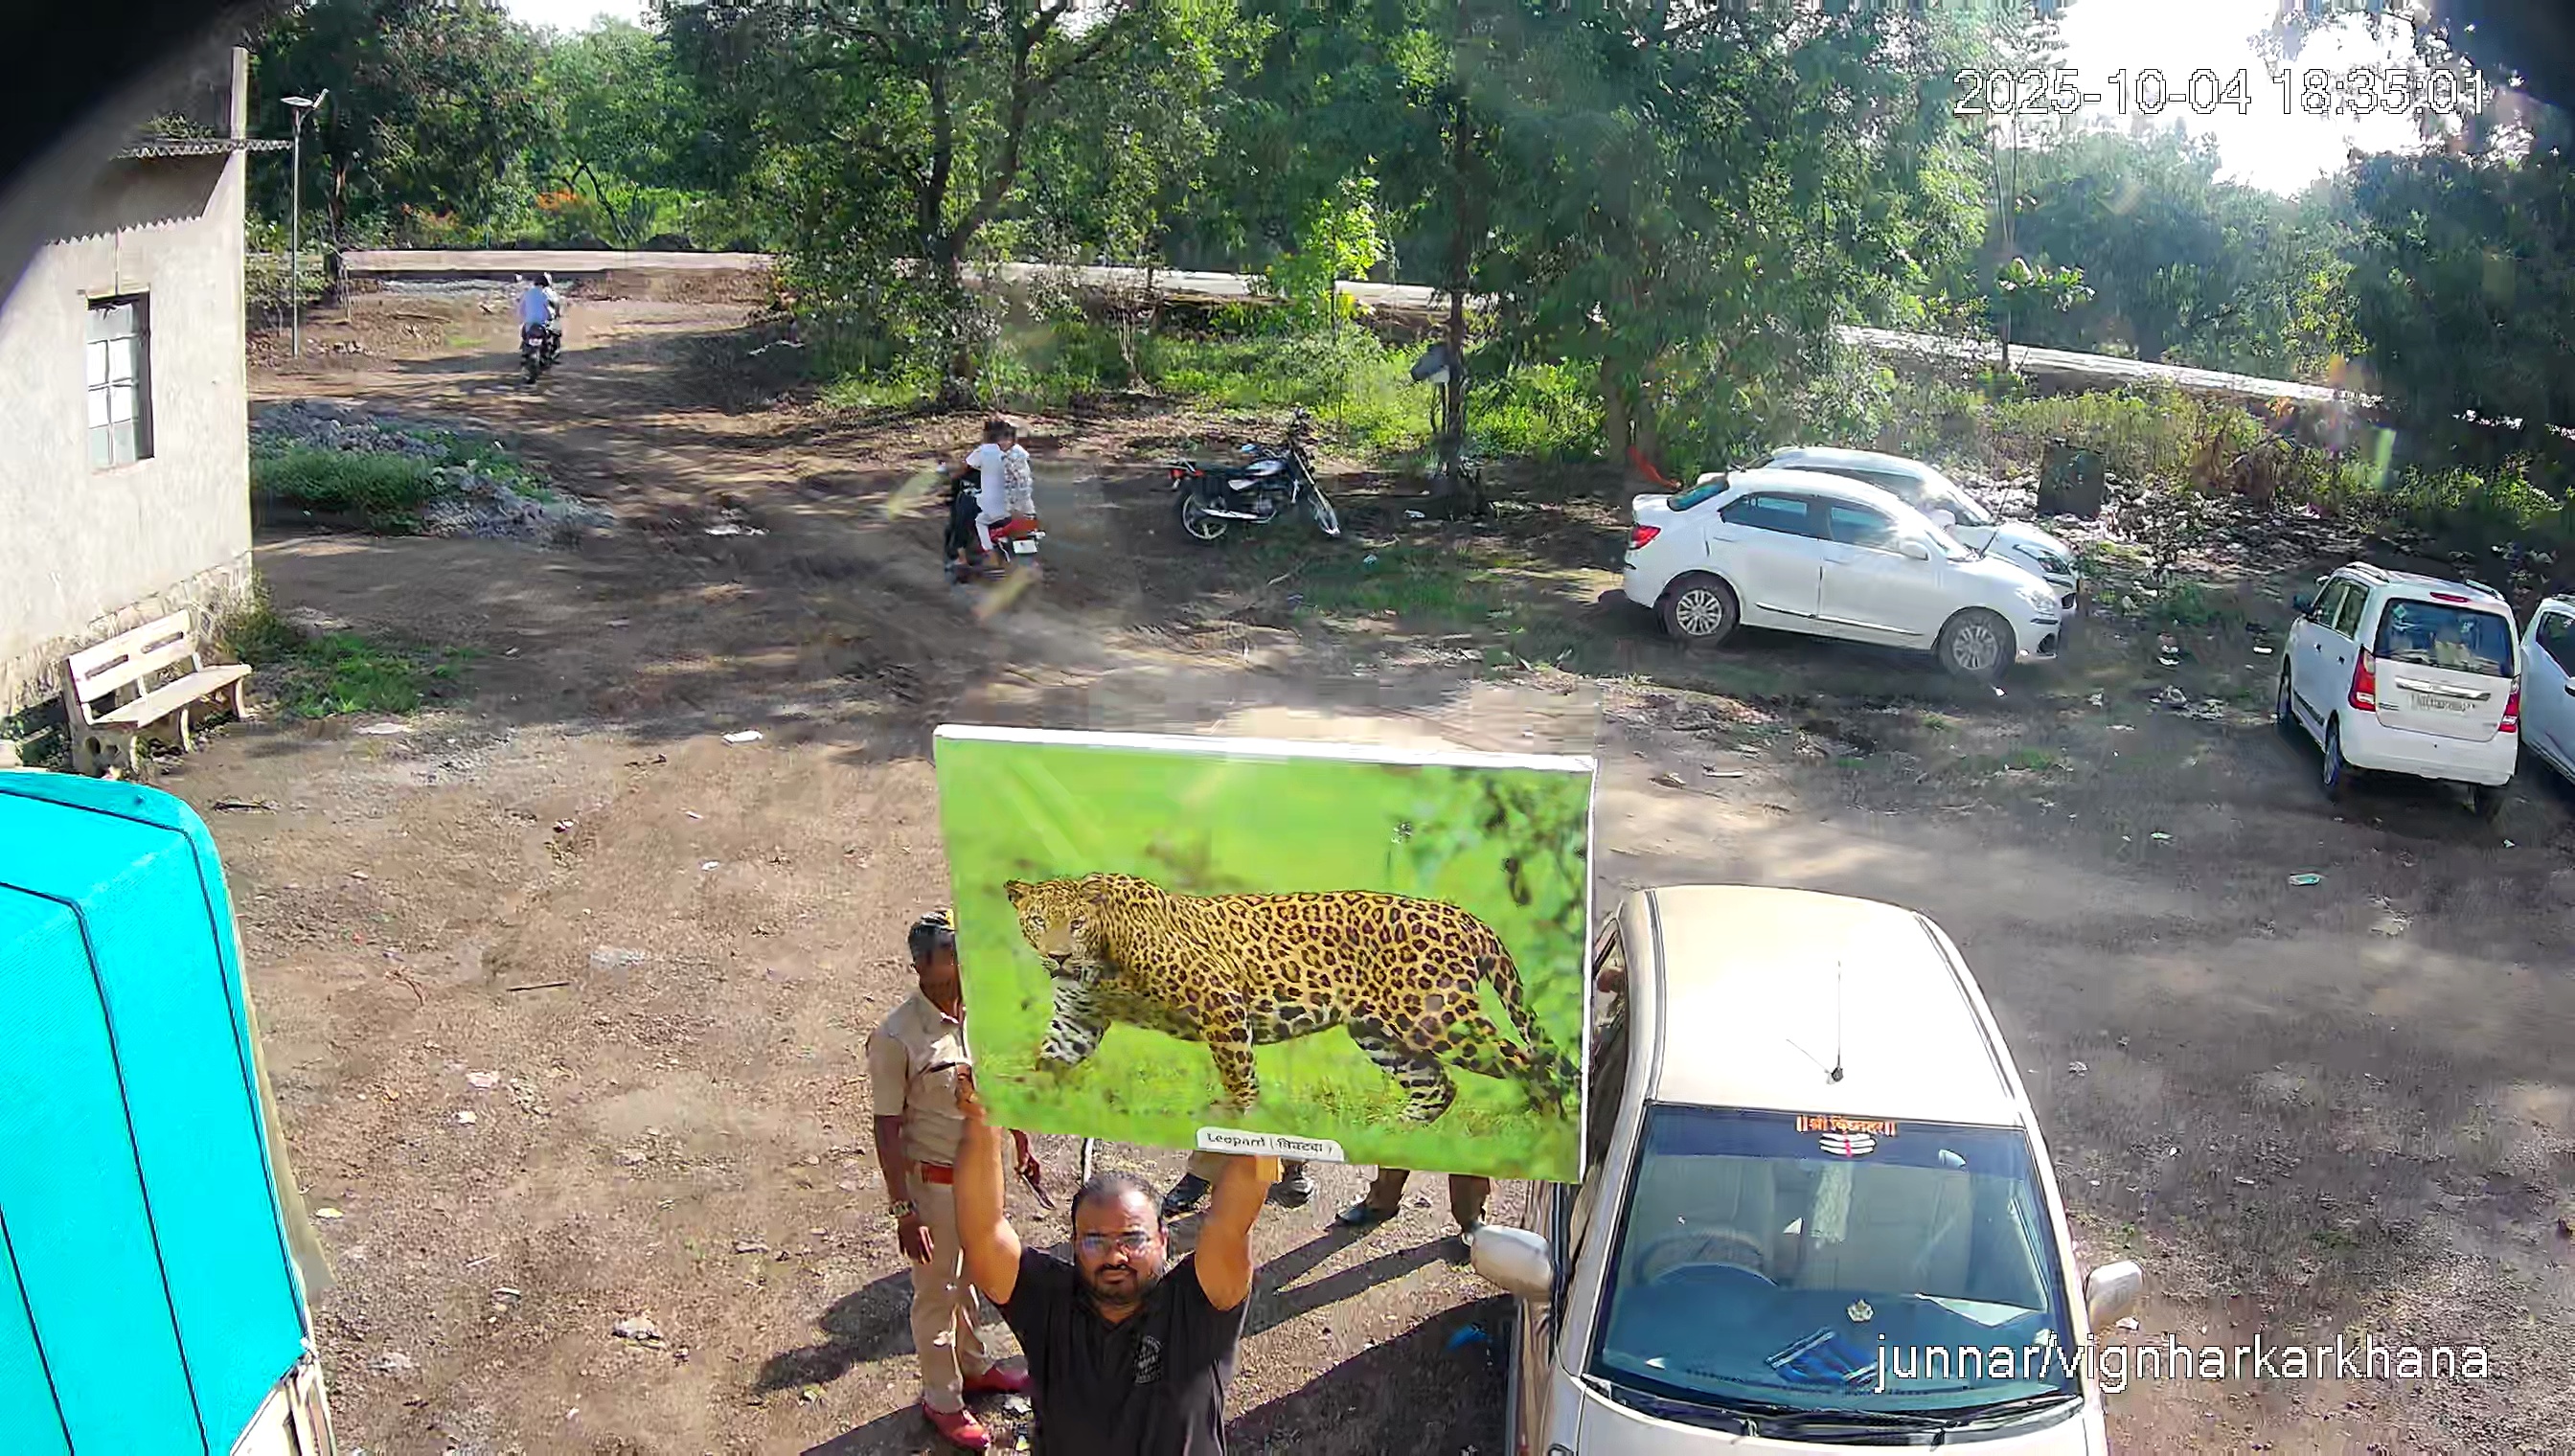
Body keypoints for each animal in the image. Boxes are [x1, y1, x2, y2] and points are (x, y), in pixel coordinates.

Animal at [1003, 871, 1576, 1124]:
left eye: (1076, 924)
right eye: (1038, 922)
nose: (1057, 958)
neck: (1099, 962)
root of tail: (1463, 915)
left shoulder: (1217, 996)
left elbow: (1237, 1069)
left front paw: (1240, 1119)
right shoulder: (1076, 1022)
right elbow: (1048, 1061)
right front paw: (1016, 1106)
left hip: (1436, 1018)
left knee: (1529, 1061)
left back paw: (1546, 1134)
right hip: (1379, 1032)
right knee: (1437, 1085)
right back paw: (1389, 1136)